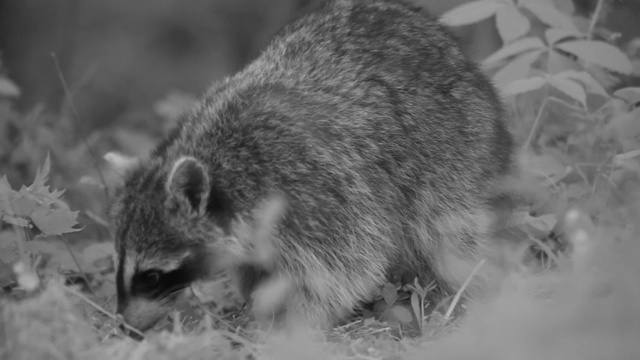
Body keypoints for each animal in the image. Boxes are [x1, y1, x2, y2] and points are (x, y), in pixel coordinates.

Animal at [110, 0, 516, 334]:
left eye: (151, 276)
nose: (125, 327)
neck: (219, 163)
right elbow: (256, 269)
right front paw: (256, 302)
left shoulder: (314, 192)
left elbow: (346, 270)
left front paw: (297, 324)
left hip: (454, 152)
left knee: (449, 233)